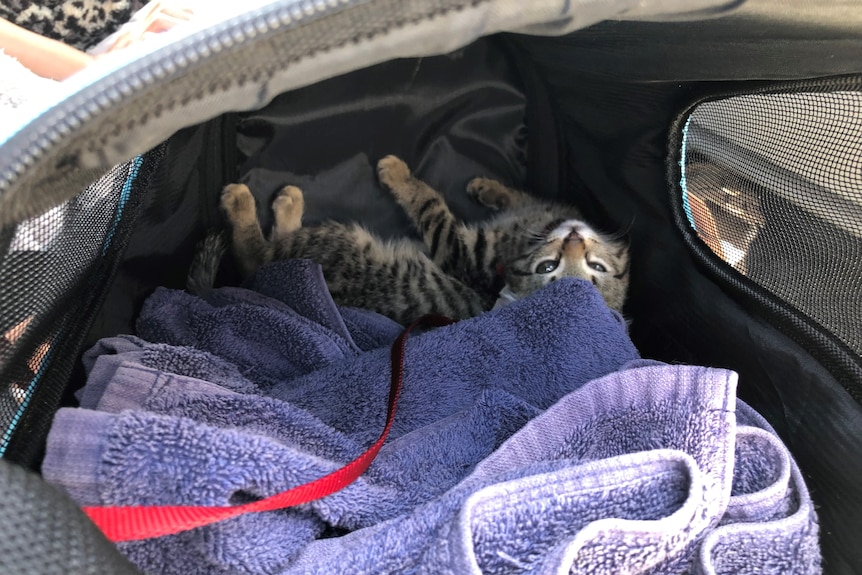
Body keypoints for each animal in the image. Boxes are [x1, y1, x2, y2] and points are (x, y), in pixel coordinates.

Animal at [216, 155, 632, 326]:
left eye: (593, 268)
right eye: (549, 267)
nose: (574, 239)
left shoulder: (459, 250)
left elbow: (429, 202)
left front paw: (398, 174)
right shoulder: (531, 211)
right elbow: (513, 197)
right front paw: (487, 188)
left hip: (333, 246)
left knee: (255, 252)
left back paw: (255, 203)